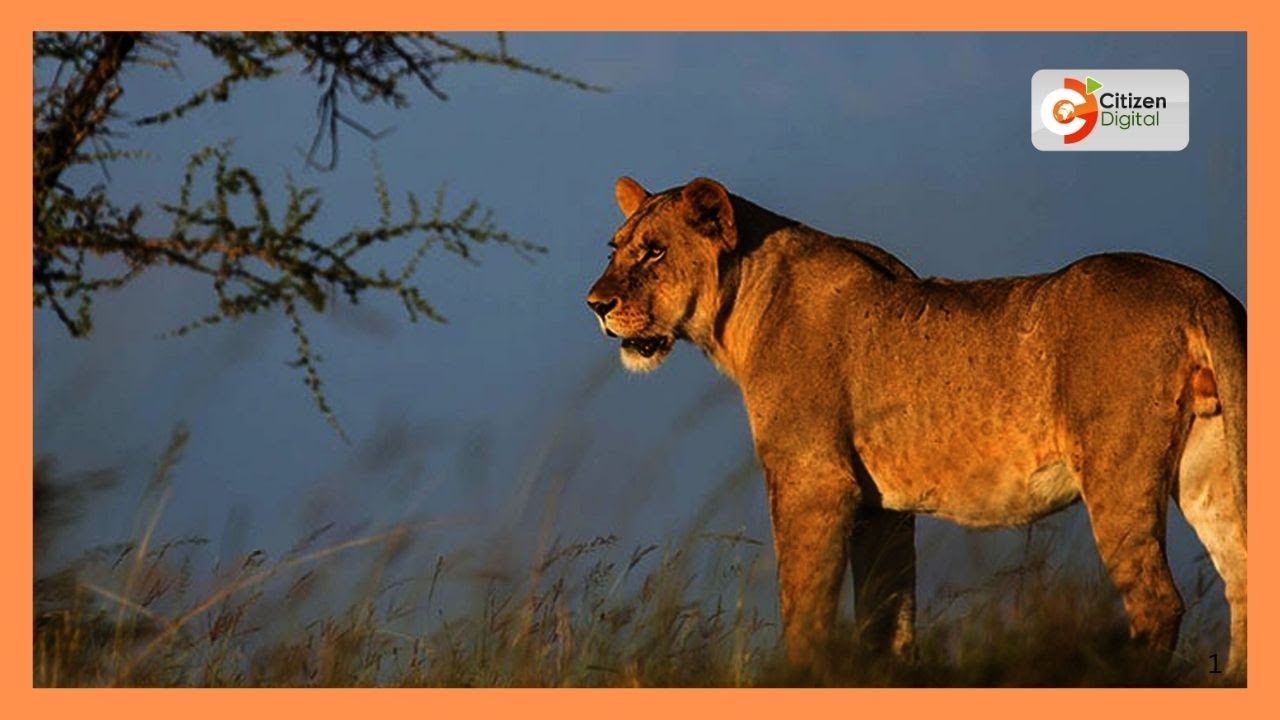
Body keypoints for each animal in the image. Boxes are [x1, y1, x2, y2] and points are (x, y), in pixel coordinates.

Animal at [586, 176, 1247, 680]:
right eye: (614, 247)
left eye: (654, 251)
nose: (595, 304)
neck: (744, 304)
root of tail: (1199, 290)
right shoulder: (881, 509)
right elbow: (887, 617)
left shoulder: (812, 481)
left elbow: (805, 607)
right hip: (1211, 467)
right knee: (1242, 577)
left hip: (1117, 470)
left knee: (1158, 601)